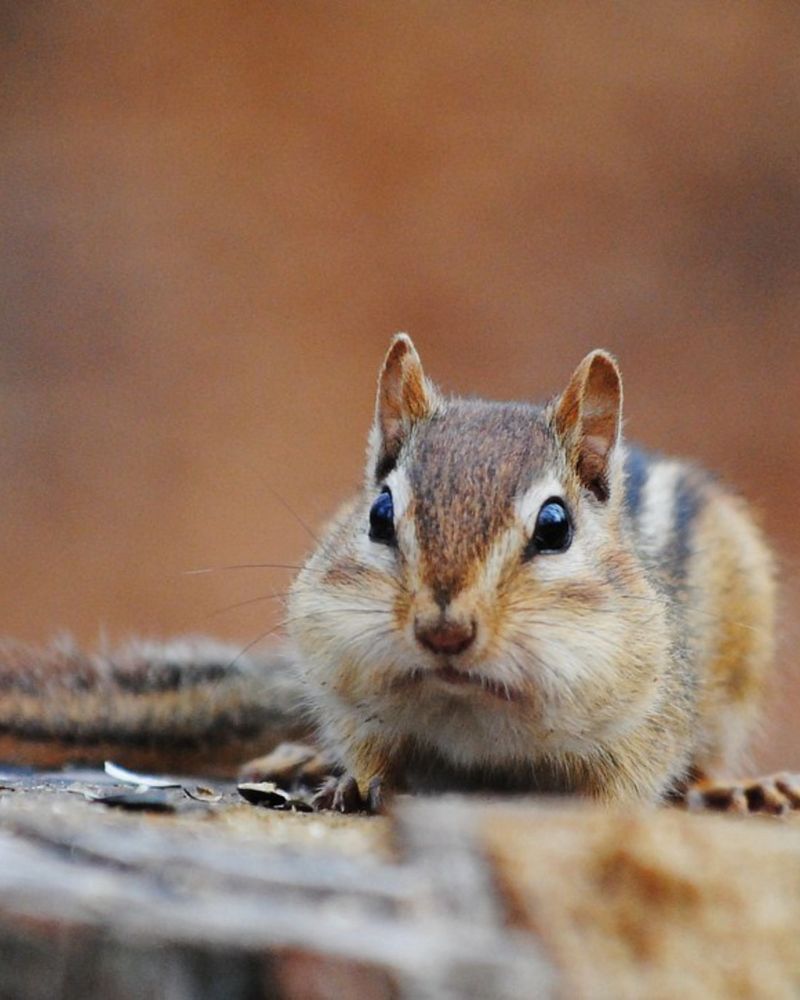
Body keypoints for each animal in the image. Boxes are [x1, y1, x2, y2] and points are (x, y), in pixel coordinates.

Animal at [0, 336, 779, 813]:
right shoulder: (342, 680)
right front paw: (349, 784)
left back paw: (736, 789)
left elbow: (627, 786)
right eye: (378, 513)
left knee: (712, 753)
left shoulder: (649, 714)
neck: (472, 711)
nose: (445, 631)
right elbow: (370, 751)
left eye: (556, 526)